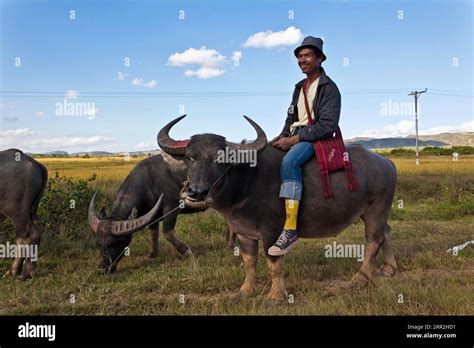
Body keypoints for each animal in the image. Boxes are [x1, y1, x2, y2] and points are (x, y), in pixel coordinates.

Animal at [0, 150, 47, 280]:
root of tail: (32, 161)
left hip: (17, 212)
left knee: (30, 236)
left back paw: (25, 274)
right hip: (27, 213)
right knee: (21, 238)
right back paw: (13, 272)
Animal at [157, 117, 398, 302]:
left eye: (221, 160)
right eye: (190, 158)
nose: (196, 192)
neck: (247, 181)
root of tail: (386, 163)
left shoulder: (271, 231)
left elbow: (273, 263)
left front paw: (276, 296)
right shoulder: (244, 232)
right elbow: (249, 263)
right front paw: (245, 291)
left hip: (375, 209)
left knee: (373, 240)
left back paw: (361, 277)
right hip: (377, 212)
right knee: (386, 232)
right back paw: (389, 269)